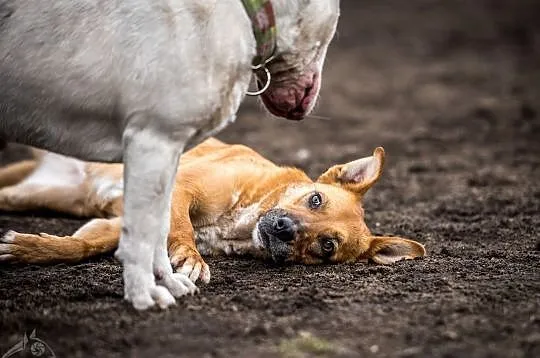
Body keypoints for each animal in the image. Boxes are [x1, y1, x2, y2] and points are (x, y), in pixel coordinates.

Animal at [0, 0, 342, 308]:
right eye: (314, 200)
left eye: (326, 246)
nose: (307, 106)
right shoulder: (153, 143)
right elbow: (144, 235)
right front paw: (145, 294)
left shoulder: (166, 159)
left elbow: (149, 230)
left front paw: (168, 282)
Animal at [0, 138, 426, 286]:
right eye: (315, 200)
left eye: (327, 247)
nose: (285, 229)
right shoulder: (180, 187)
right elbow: (183, 231)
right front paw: (190, 258)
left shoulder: (115, 223)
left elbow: (79, 246)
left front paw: (28, 249)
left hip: (35, 194)